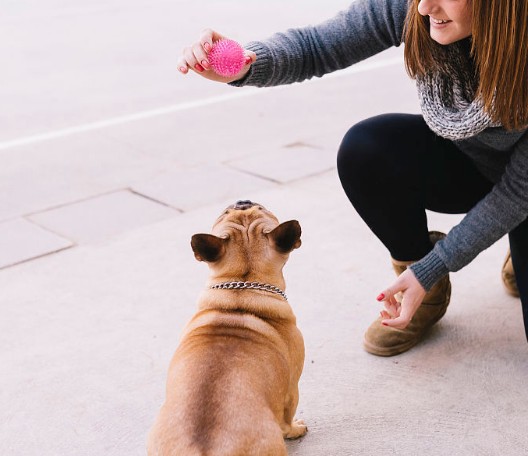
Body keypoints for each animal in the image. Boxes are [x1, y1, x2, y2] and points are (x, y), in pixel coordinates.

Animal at [146, 201, 308, 454]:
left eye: (258, 208)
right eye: (225, 212)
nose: (243, 202)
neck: (241, 289)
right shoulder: (292, 387)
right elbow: (287, 418)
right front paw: (296, 429)